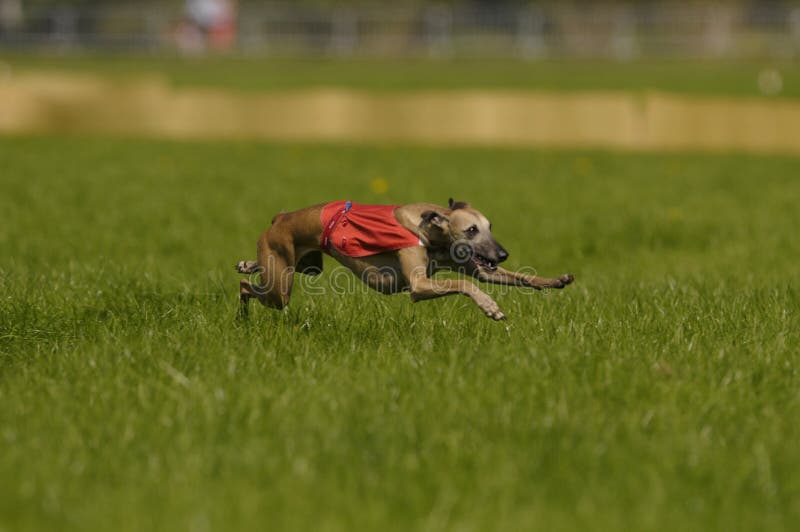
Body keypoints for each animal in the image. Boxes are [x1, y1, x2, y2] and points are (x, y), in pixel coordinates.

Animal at [238, 197, 576, 318]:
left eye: (490, 227)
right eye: (471, 230)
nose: (502, 254)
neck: (428, 229)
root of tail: (280, 218)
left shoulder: (479, 269)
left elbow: (520, 277)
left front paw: (557, 280)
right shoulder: (419, 285)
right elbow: (465, 285)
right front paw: (490, 307)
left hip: (305, 266)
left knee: (255, 275)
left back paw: (246, 265)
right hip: (281, 288)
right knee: (245, 288)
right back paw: (242, 314)